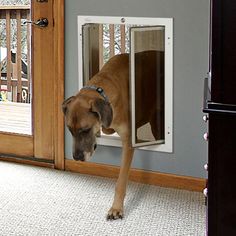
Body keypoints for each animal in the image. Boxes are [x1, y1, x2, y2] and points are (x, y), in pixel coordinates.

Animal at [61, 49, 163, 219]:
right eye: (69, 130)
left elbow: (121, 181)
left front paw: (116, 208)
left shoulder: (128, 141)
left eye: (85, 130)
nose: (77, 157)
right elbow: (106, 127)